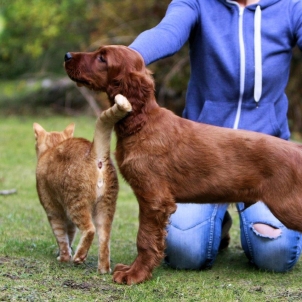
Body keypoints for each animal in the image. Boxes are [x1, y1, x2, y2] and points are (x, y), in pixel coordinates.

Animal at [33, 94, 132, 274]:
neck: (51, 148)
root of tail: (94, 153)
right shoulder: (67, 219)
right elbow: (70, 235)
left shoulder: (54, 211)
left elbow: (62, 238)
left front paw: (64, 258)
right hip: (105, 210)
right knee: (104, 241)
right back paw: (103, 269)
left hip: (76, 206)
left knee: (89, 230)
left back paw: (79, 257)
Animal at [64, 44, 302, 284]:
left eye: (102, 58)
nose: (67, 56)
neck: (142, 122)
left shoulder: (154, 199)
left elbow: (145, 239)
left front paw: (135, 274)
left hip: (287, 206)